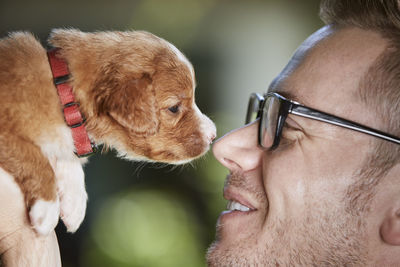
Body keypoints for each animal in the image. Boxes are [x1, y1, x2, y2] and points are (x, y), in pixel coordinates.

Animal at [0, 29, 216, 237]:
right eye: (174, 108)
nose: (213, 135)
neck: (64, 94)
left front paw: (75, 203)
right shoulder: (5, 133)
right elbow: (33, 157)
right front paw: (47, 208)